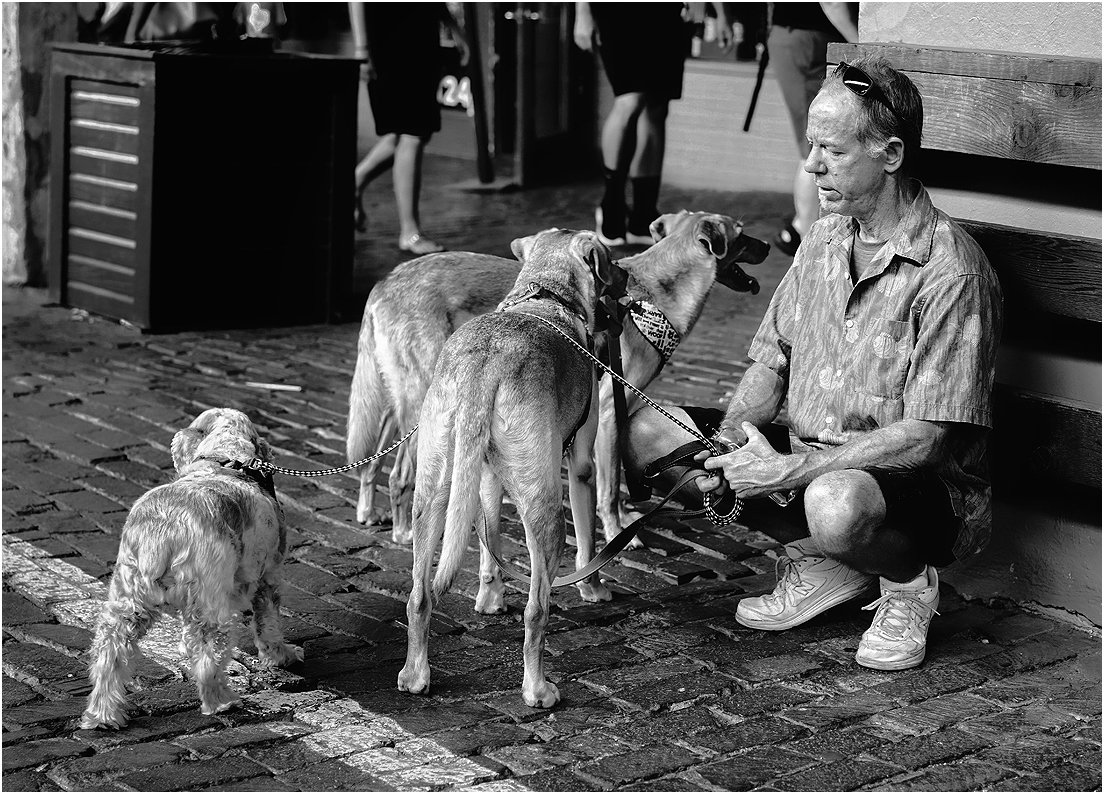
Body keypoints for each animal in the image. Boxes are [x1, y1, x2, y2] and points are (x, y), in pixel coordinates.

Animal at [80, 411, 302, 729]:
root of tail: (164, 528)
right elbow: (268, 626)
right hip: (212, 607)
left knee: (110, 652)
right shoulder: (268, 577)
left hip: (129, 597)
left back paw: (103, 715)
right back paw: (222, 702)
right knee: (209, 659)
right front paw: (284, 656)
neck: (225, 459)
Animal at [397, 226, 623, 707]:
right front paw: (593, 589)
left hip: (433, 494)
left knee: (420, 597)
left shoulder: (485, 477)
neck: (546, 294)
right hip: (546, 511)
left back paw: (415, 675)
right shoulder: (581, 464)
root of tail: (484, 365)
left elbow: (490, 545)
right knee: (538, 609)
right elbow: (590, 541)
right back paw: (537, 688)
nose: (625, 278)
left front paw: (490, 598)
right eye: (610, 262)